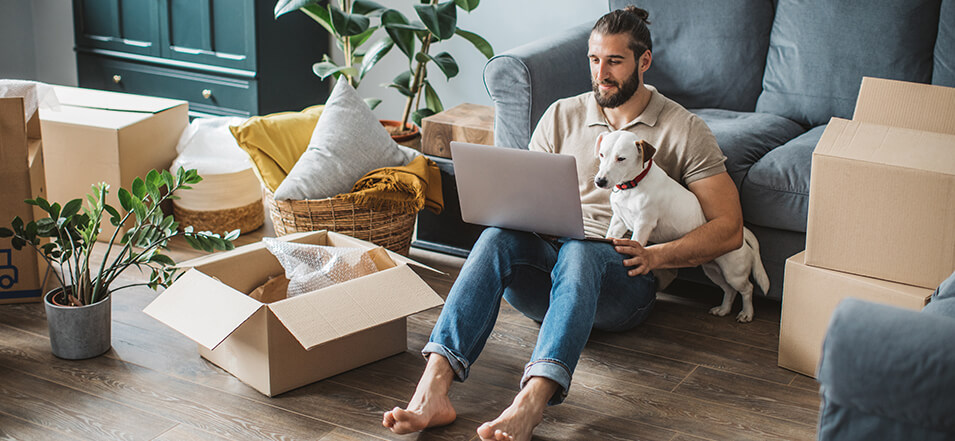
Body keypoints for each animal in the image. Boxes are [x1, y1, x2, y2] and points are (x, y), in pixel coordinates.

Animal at [592, 129, 772, 322]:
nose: (600, 181)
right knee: (729, 290)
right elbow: (611, 235)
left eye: (621, 159)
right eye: (602, 155)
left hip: (734, 273)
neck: (633, 184)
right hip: (714, 270)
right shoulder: (618, 220)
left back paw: (747, 313)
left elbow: (637, 242)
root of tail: (743, 234)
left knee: (747, 289)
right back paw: (723, 309)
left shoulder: (644, 224)